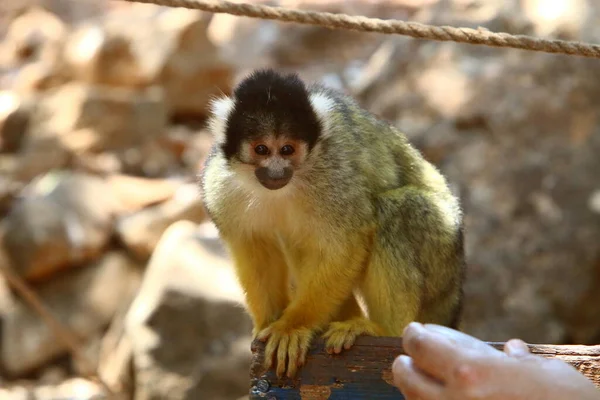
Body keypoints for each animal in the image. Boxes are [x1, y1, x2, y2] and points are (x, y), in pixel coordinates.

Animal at [199, 68, 466, 378]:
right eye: (262, 149)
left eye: (287, 149)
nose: (276, 172)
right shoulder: (218, 184)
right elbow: (255, 249)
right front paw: (267, 323)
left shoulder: (334, 174)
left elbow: (346, 243)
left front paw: (292, 326)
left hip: (442, 253)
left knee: (395, 211)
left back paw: (384, 330)